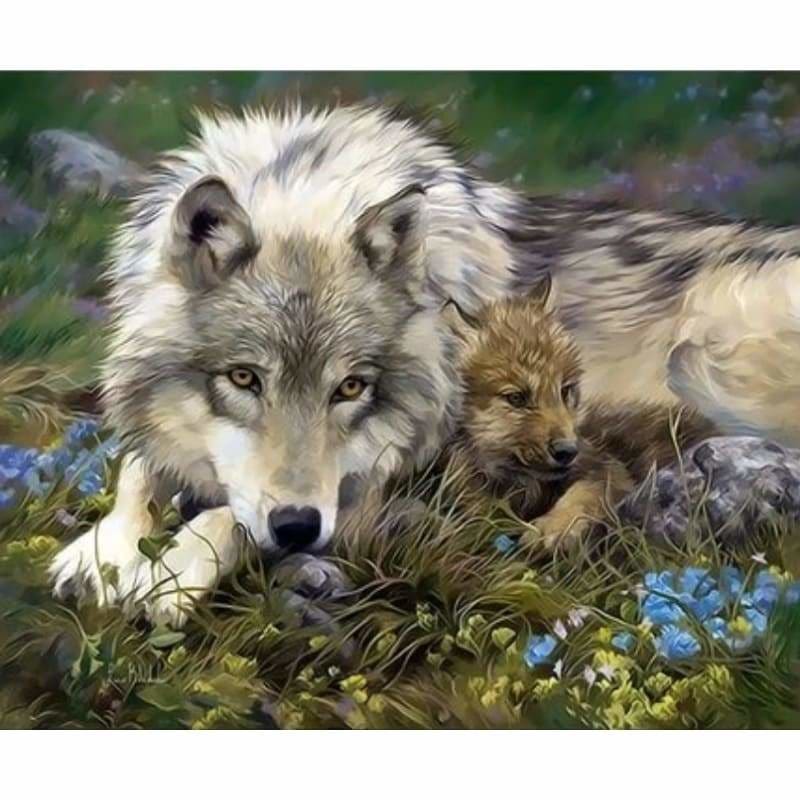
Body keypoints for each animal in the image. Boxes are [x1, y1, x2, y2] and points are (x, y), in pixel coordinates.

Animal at [443, 280, 719, 549]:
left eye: (565, 390)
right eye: (517, 398)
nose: (566, 451)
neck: (525, 485)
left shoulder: (608, 467)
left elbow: (581, 494)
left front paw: (551, 530)